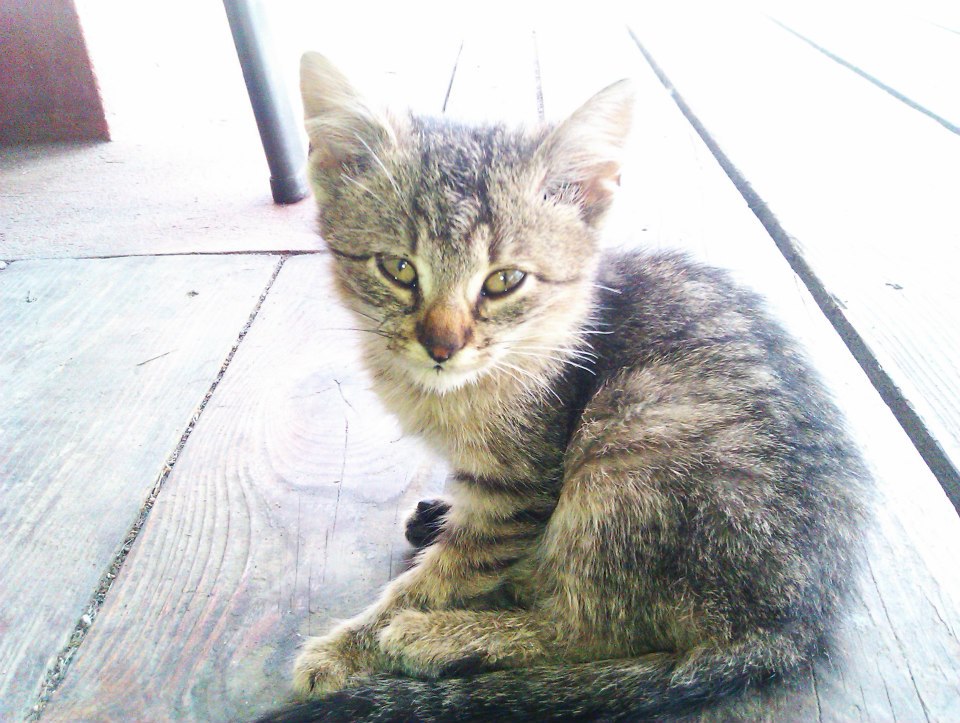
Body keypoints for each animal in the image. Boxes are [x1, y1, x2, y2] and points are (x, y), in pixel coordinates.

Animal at [258, 52, 870, 722]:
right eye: (398, 269)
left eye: (504, 281)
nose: (442, 347)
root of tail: (792, 625)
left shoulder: (518, 491)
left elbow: (444, 576)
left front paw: (353, 647)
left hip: (631, 450)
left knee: (589, 630)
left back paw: (445, 637)